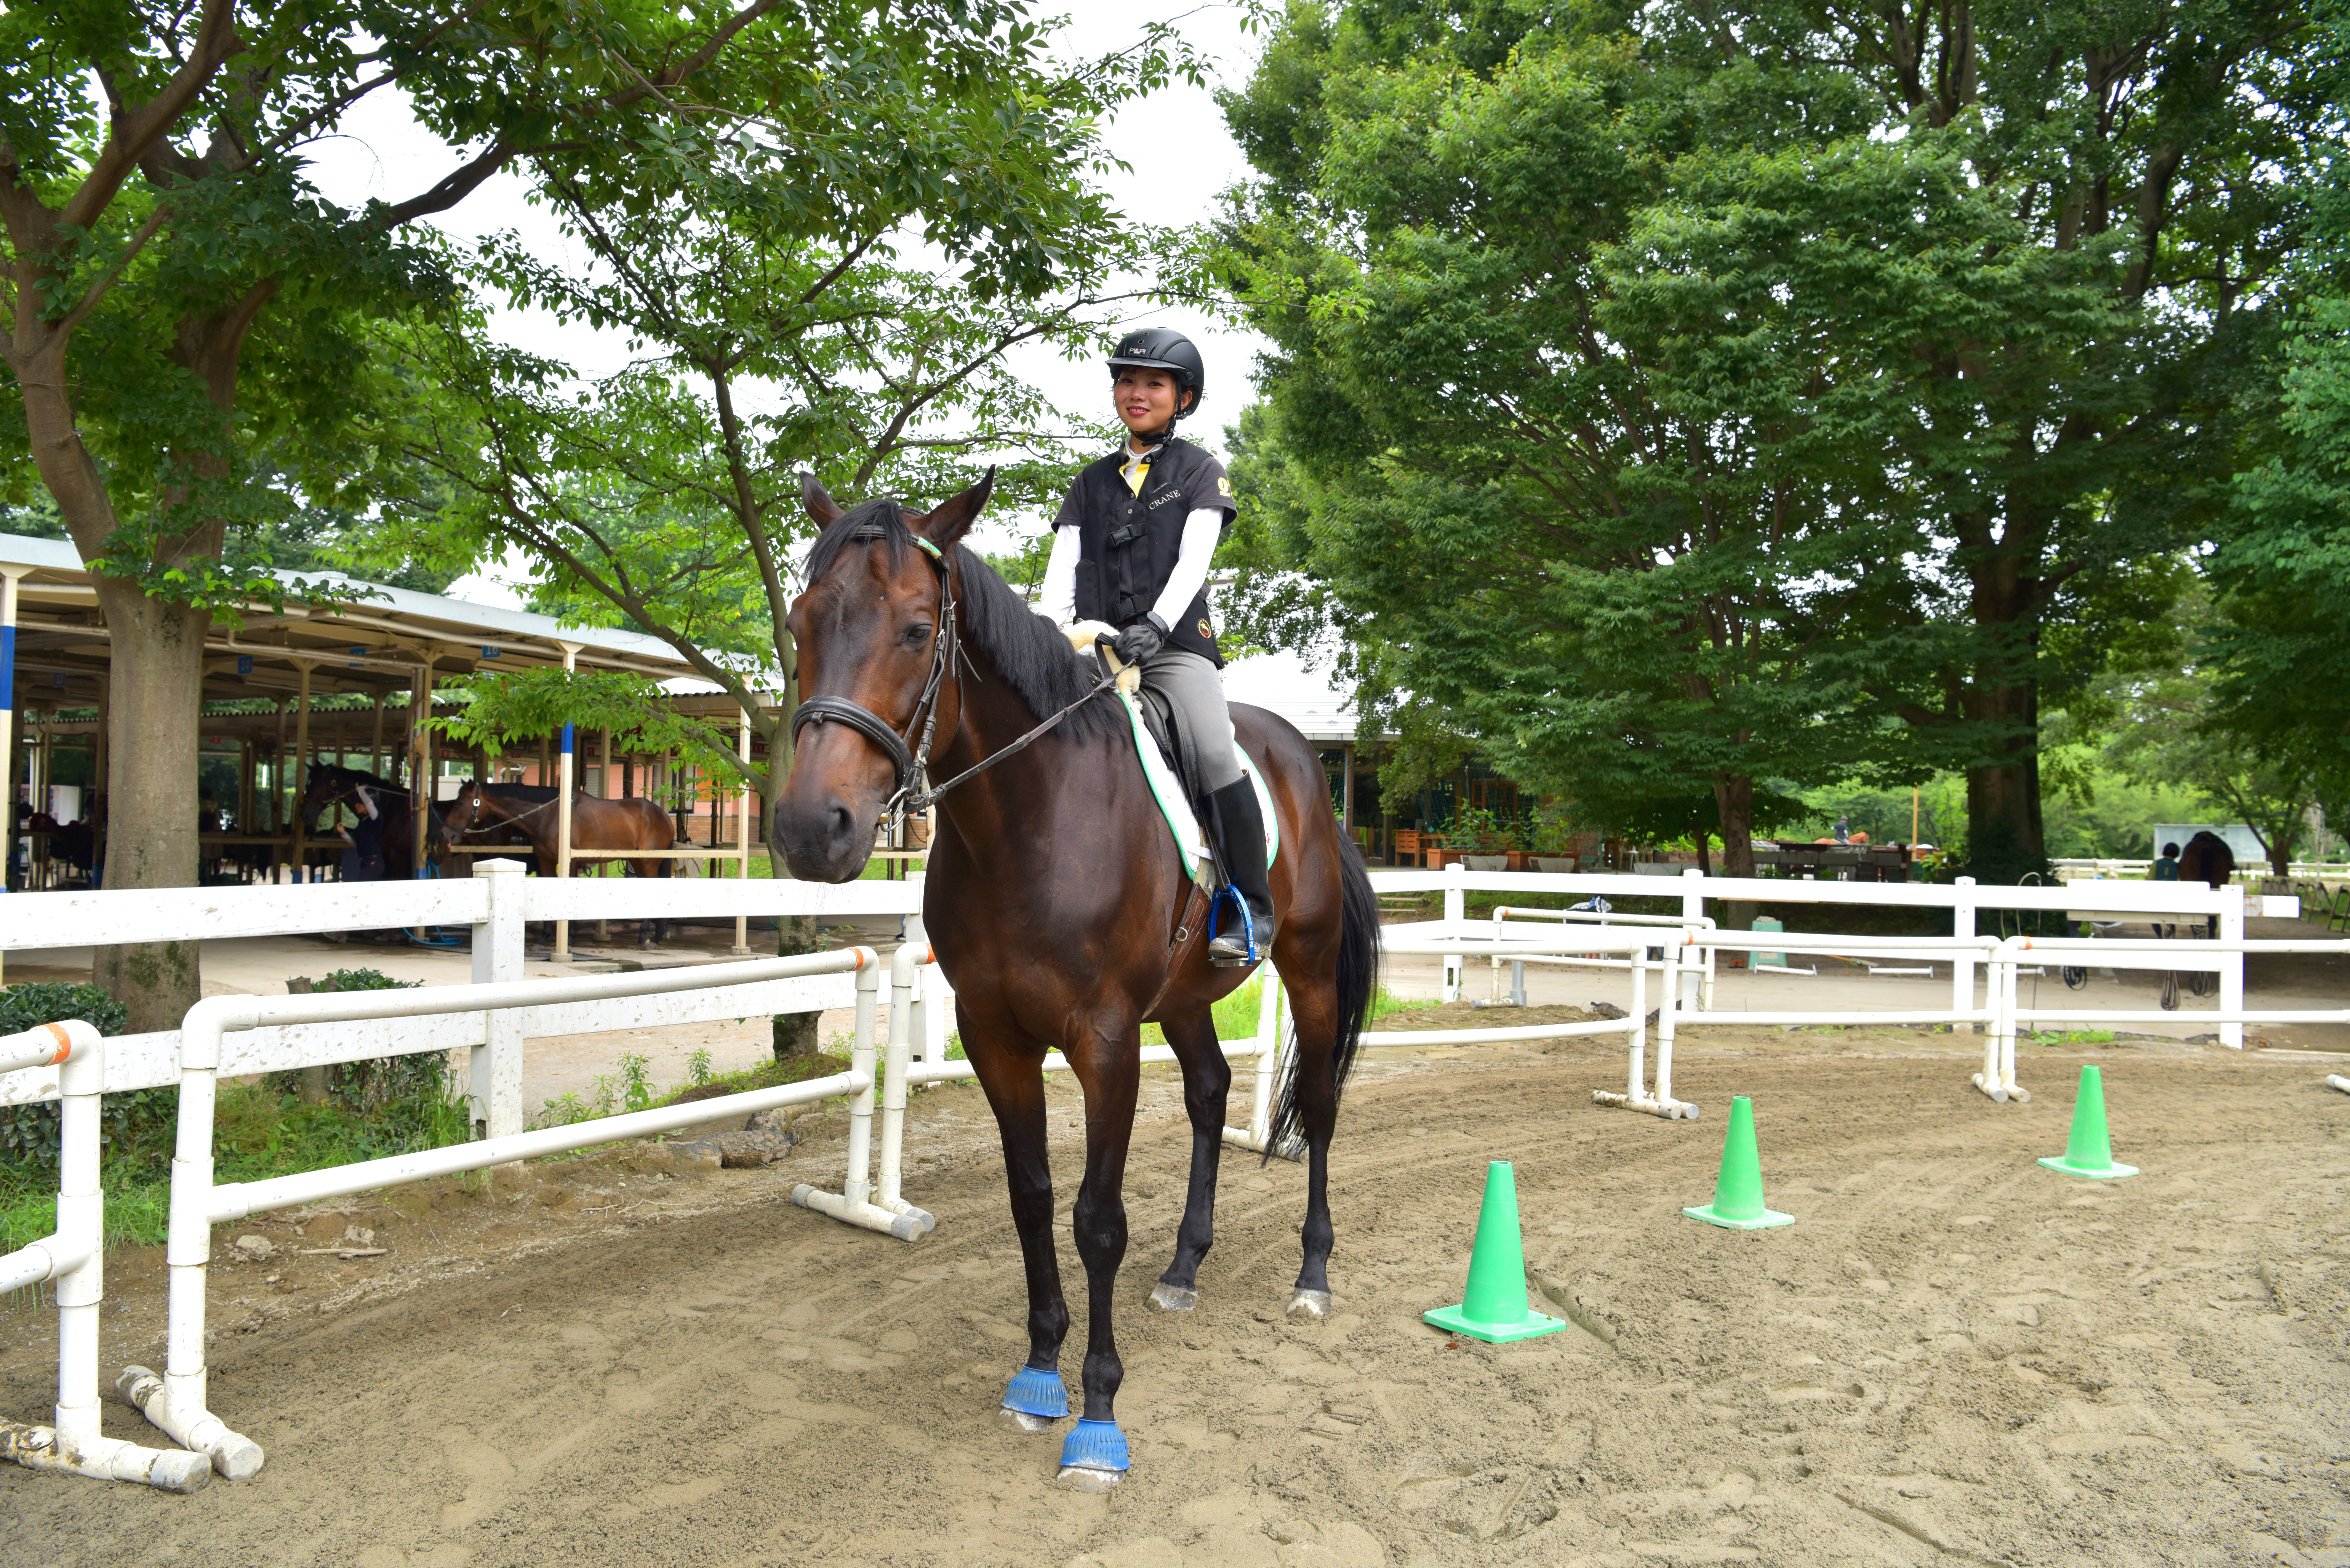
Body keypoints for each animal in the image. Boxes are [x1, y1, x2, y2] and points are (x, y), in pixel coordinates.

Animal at [433, 780, 677, 948]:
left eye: (461, 802)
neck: (550, 815)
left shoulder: (569, 862)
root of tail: (664, 816)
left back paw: (646, 937)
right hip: (638, 862)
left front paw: (567, 938)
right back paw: (653, 936)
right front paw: (544, 938)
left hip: (648, 863)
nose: (444, 834)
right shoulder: (546, 862)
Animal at [771, 474, 1380, 1484]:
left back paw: (1314, 1277)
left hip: (1308, 969)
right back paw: (1183, 1269)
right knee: (1211, 1091)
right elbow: (1032, 1199)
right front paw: (1038, 1371)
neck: (1030, 821)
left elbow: (1097, 1218)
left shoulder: (1103, 1041)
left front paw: (1098, 1413)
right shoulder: (998, 1038)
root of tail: (1300, 755)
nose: (811, 831)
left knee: (1322, 1109)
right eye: (800, 621)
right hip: (1185, 998)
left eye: (914, 630)